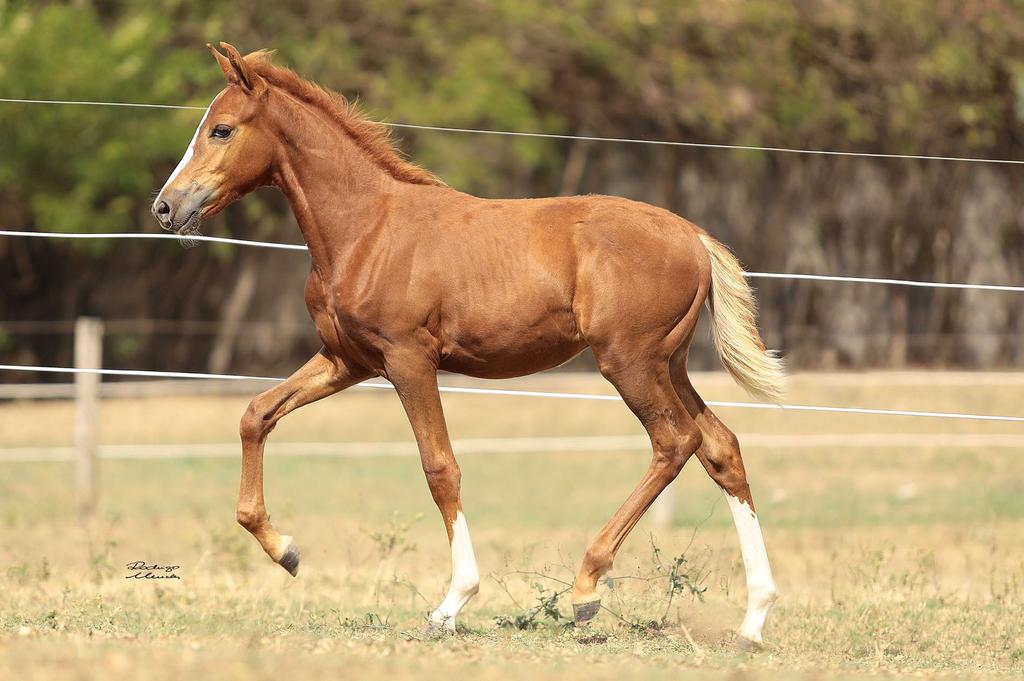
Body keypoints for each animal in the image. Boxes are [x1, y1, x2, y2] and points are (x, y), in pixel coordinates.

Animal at [153, 43, 782, 647]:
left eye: (221, 129)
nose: (166, 207)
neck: (367, 230)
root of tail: (693, 236)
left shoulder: (409, 360)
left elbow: (440, 468)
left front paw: (451, 605)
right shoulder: (348, 361)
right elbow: (256, 414)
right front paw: (285, 550)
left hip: (628, 362)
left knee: (675, 442)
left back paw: (586, 588)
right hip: (668, 364)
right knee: (720, 447)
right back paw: (751, 622)